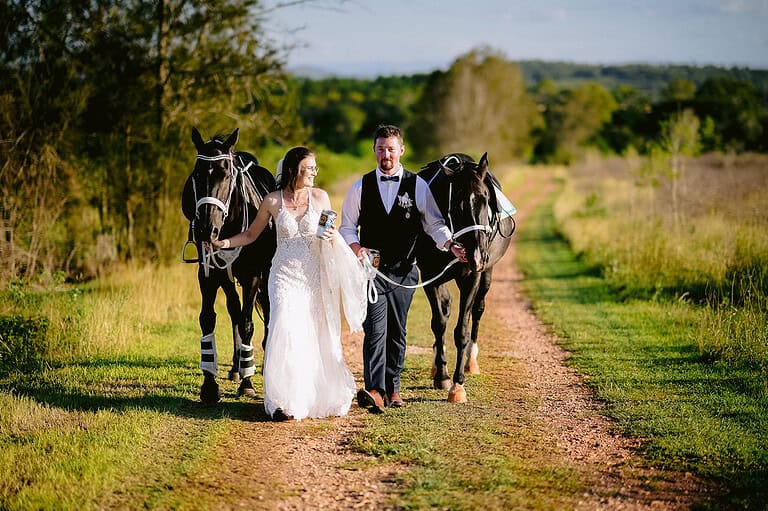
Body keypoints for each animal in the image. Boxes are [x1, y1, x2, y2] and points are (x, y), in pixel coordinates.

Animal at [180, 127, 276, 404]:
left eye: (226, 174)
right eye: (197, 174)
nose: (205, 229)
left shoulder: (253, 275)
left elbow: (247, 322)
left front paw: (247, 383)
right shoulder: (209, 274)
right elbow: (208, 319)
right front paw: (209, 386)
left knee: (266, 309)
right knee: (234, 308)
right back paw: (236, 367)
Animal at [414, 152, 516, 404]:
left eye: (486, 198)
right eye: (457, 203)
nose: (477, 255)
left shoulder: (472, 277)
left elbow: (462, 330)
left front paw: (458, 386)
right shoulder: (430, 276)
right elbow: (439, 322)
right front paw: (442, 376)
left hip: (487, 275)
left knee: (478, 310)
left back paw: (471, 361)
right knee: (446, 307)